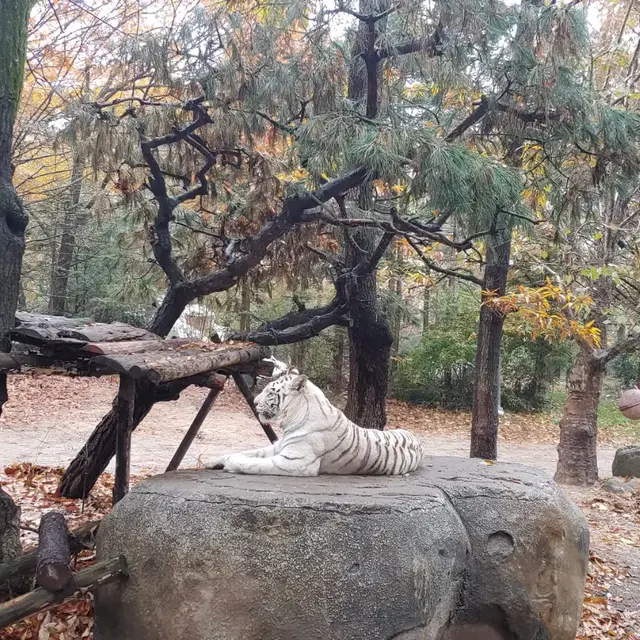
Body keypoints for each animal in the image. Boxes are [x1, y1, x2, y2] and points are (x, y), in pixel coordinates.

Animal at [206, 370, 424, 476]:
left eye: (270, 392)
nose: (255, 402)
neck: (293, 419)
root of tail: (417, 439)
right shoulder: (278, 447)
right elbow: (248, 452)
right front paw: (211, 460)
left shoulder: (295, 462)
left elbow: (255, 464)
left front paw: (232, 464)